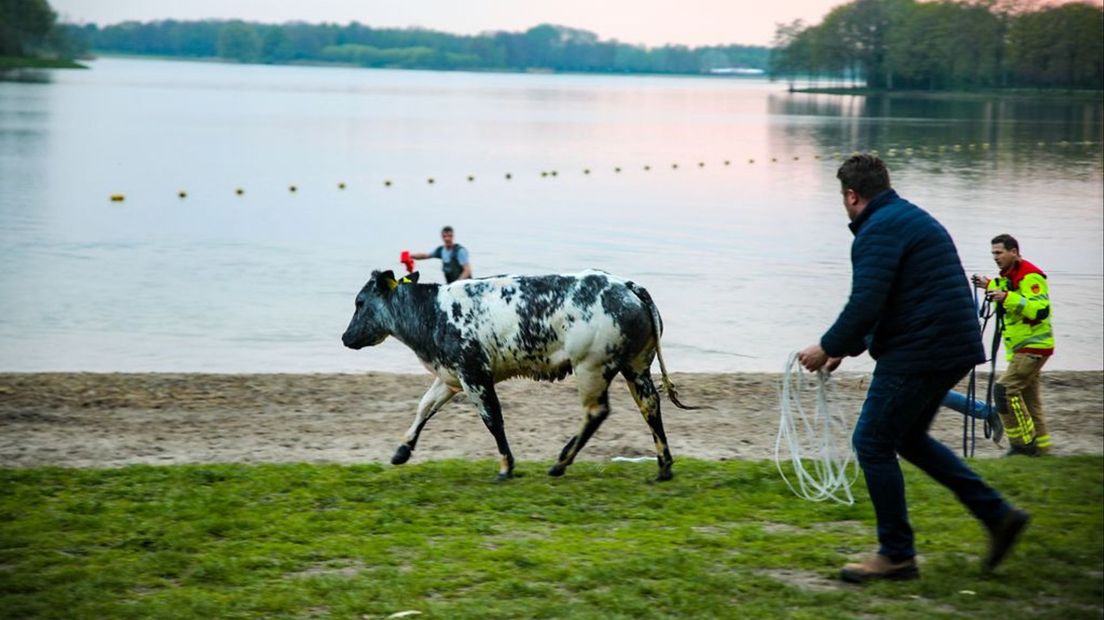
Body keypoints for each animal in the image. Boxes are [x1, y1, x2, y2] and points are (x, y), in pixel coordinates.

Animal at [340, 268, 693, 480]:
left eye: (360, 302)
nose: (345, 337)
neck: (434, 312)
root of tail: (627, 285)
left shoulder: (474, 375)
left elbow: (492, 419)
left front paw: (506, 466)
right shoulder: (451, 376)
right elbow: (425, 406)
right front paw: (401, 451)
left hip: (591, 367)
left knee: (597, 411)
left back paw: (560, 462)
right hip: (636, 365)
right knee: (649, 405)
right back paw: (664, 466)